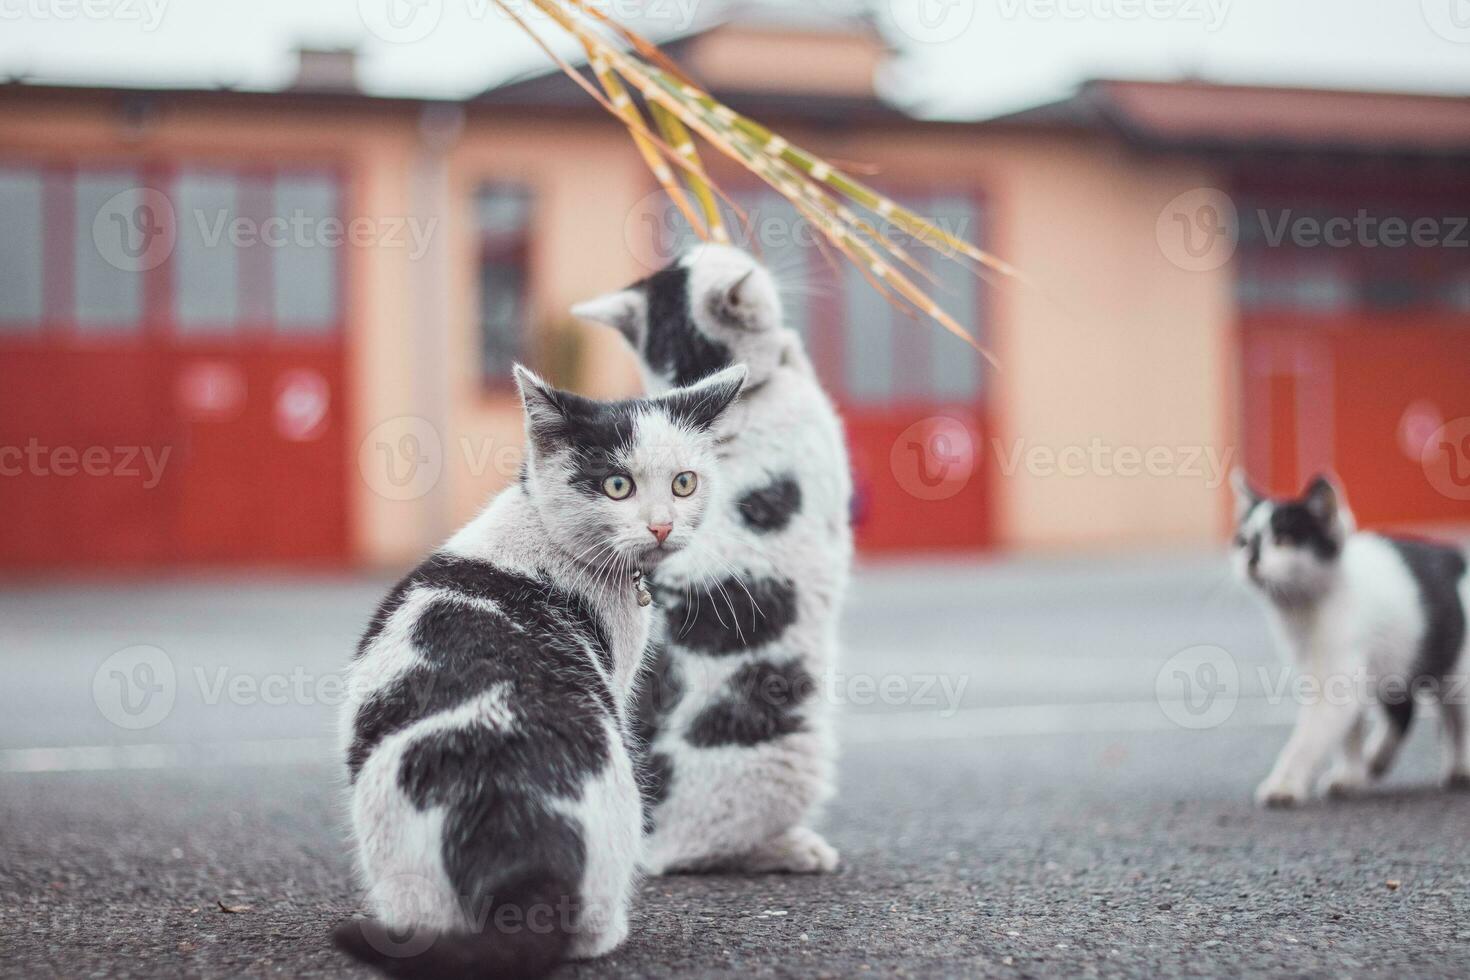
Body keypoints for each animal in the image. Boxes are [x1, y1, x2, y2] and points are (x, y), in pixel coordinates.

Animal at [1228, 470, 1470, 811]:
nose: (1250, 557)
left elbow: (1308, 739)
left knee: (1456, 716)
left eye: (1284, 540)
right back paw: (1377, 760)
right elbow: (1349, 731)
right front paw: (1349, 775)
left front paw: (1284, 785)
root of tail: (1454, 555)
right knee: (1404, 710)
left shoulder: (1337, 681)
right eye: (1243, 541)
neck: (1304, 611)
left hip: (1456, 666)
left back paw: (1459, 768)